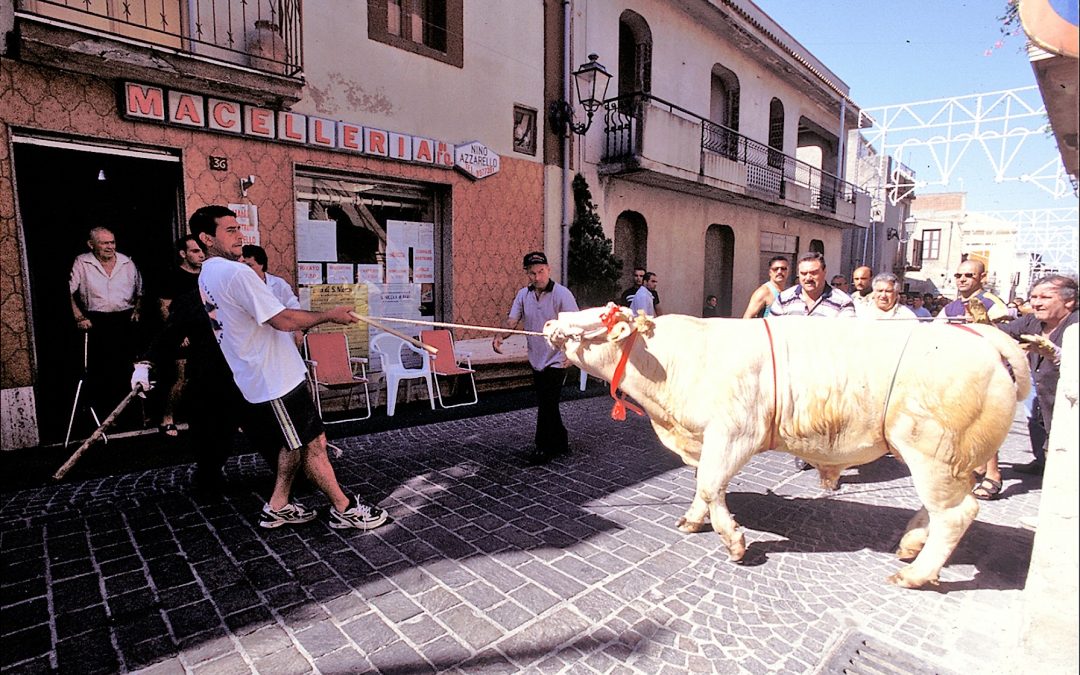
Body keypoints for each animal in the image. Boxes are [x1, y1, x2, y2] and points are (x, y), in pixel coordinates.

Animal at [548, 302, 1028, 587]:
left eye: (591, 319)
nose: (550, 321)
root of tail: (979, 336)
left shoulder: (734, 431)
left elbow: (710, 484)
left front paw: (734, 542)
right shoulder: (706, 437)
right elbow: (704, 485)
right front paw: (693, 520)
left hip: (934, 454)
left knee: (956, 514)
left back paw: (915, 573)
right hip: (942, 460)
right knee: (940, 509)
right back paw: (911, 544)